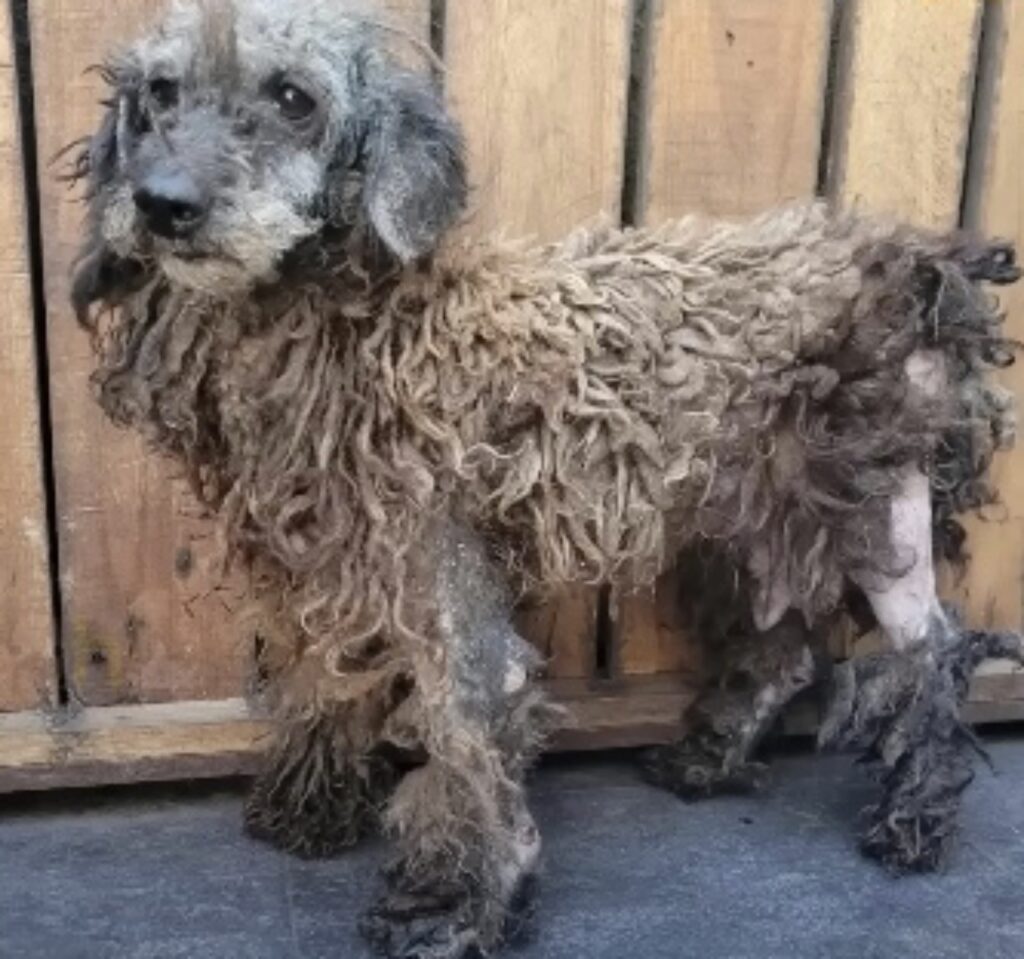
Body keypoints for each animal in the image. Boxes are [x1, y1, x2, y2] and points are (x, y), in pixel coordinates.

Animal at [72, 1, 1024, 957]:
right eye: (161, 92)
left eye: (294, 97)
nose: (162, 203)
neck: (359, 321)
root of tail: (914, 257)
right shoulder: (331, 566)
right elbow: (325, 680)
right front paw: (311, 808)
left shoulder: (441, 575)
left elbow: (470, 730)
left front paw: (463, 902)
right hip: (758, 514)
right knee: (785, 650)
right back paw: (706, 760)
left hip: (872, 509)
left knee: (933, 648)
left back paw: (915, 817)